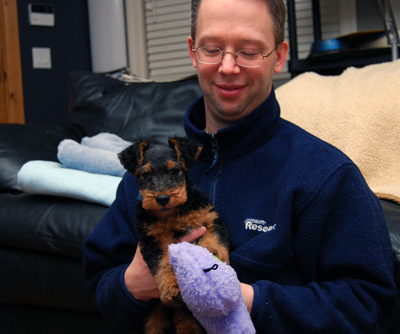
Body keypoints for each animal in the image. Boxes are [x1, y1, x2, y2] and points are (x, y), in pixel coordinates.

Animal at [118, 136, 231, 334]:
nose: (162, 198)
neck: (172, 214)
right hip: (156, 317)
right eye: (145, 174)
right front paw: (171, 288)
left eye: (174, 170)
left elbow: (213, 236)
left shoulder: (210, 216)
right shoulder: (152, 240)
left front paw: (213, 252)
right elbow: (162, 263)